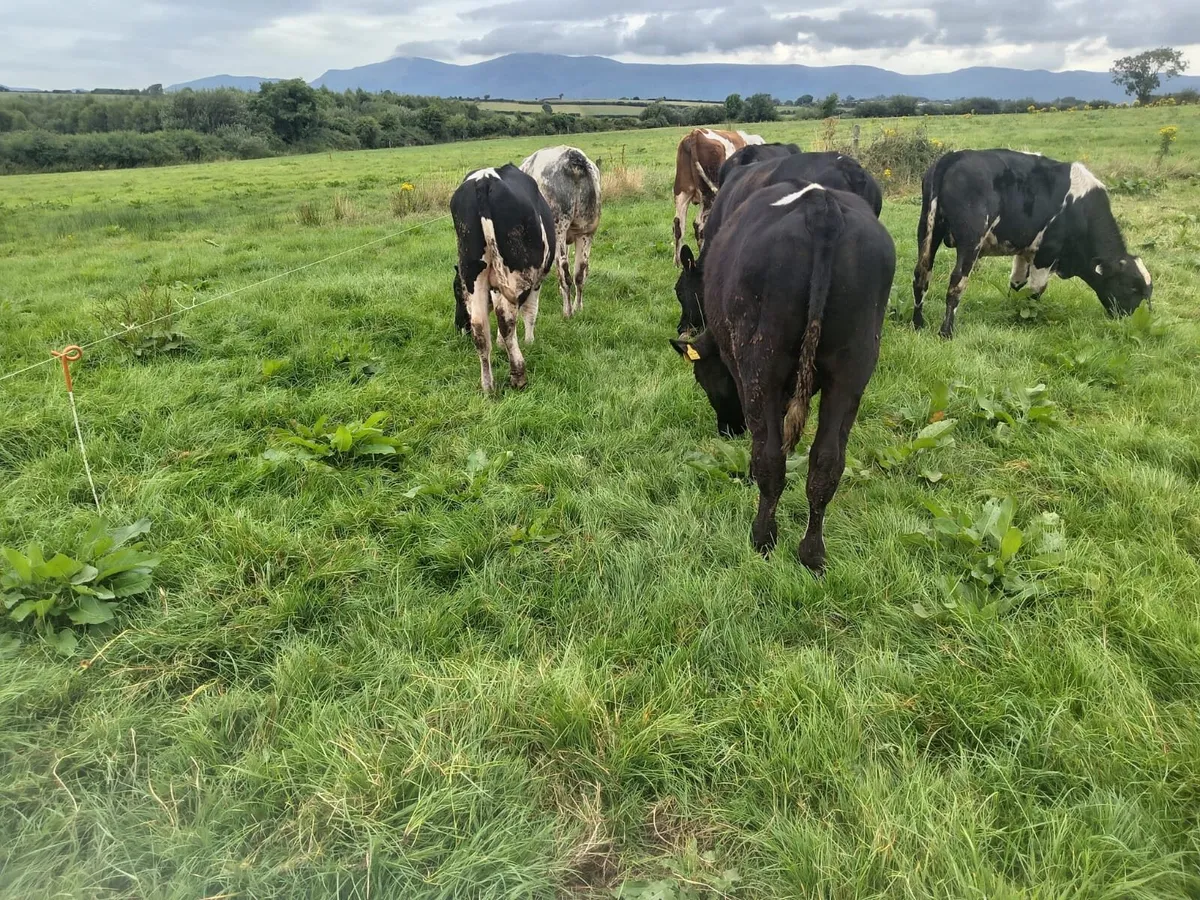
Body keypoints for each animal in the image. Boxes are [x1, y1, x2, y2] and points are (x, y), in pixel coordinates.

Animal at [450, 164, 555, 392]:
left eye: (457, 291)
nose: (458, 325)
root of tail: (483, 180)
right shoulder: (535, 282)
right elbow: (530, 313)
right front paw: (530, 342)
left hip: (474, 273)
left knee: (480, 327)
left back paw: (488, 386)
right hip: (514, 274)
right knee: (506, 320)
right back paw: (518, 375)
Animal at [520, 145, 602, 318]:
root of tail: (574, 158)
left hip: (558, 230)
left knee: (564, 272)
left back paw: (567, 312)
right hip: (587, 231)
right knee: (580, 273)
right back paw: (578, 308)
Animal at [670, 180, 895, 572]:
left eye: (702, 379)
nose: (727, 430)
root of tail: (822, 207)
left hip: (762, 363)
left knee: (770, 457)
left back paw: (762, 538)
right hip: (853, 368)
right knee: (827, 461)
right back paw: (812, 554)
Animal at [673, 128, 765, 266]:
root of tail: (696, 133)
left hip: (682, 193)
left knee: (679, 225)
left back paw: (678, 263)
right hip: (709, 194)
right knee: (700, 225)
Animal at [912, 149, 1153, 338]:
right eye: (1132, 287)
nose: (1134, 320)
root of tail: (954, 156)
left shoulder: (1025, 250)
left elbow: (1017, 283)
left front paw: (1013, 311)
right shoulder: (1047, 252)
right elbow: (1037, 288)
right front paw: (1029, 318)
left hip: (928, 231)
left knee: (921, 274)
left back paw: (918, 323)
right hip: (971, 240)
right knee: (956, 282)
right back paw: (946, 332)